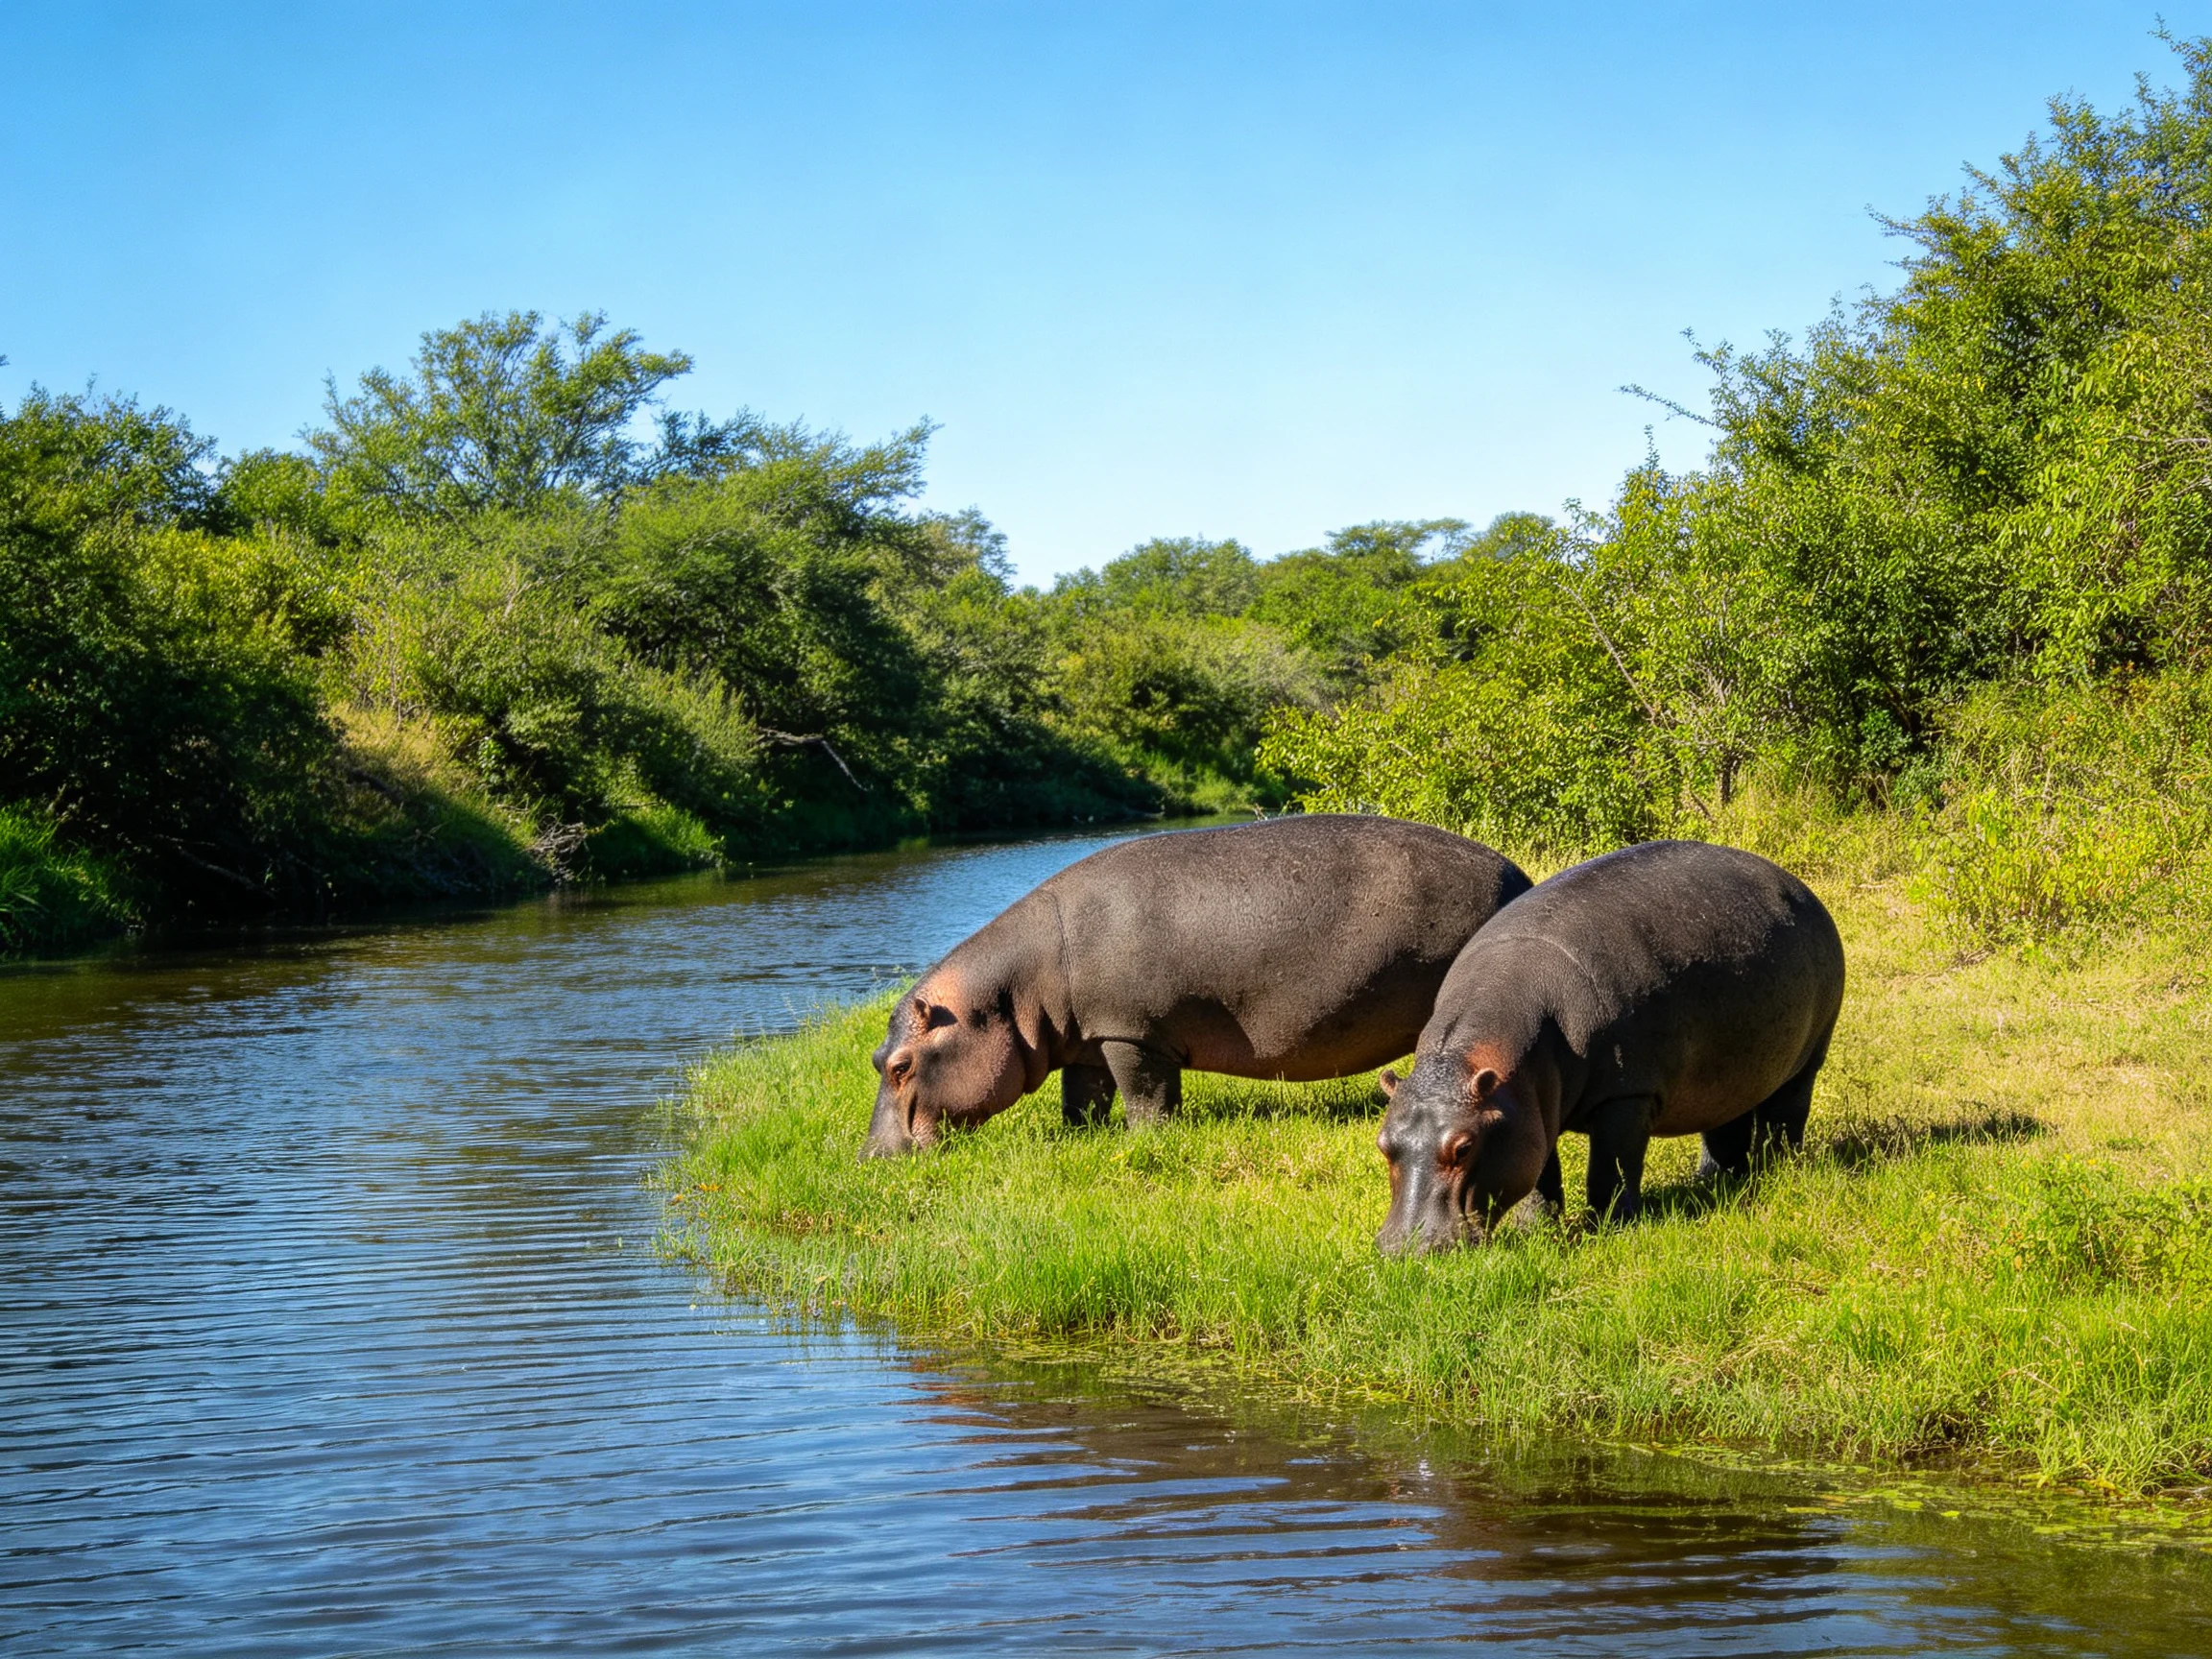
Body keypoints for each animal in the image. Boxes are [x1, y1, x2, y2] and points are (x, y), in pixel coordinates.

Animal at [863, 815, 1532, 1157]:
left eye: (899, 1066)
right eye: (874, 1058)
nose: (871, 1158)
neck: (1014, 990)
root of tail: (1521, 878)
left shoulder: (1132, 1035)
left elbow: (1147, 1096)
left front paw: (1147, 1140)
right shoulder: (1090, 1039)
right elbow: (1082, 1098)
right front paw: (1079, 1139)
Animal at [1374, 839, 1845, 1252]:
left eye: (1464, 1146)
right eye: (1382, 1143)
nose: (1402, 1248)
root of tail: (1797, 885)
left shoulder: (1626, 1096)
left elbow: (1611, 1169)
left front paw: (1609, 1228)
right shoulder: (1529, 1105)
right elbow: (1540, 1175)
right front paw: (1537, 1231)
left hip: (1807, 1061)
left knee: (1785, 1119)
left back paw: (1777, 1175)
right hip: (1733, 1071)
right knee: (1726, 1125)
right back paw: (1715, 1183)